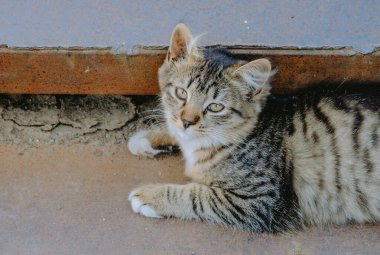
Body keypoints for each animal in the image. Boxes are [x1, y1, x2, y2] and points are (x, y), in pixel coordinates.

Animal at [128, 22, 380, 232]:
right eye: (181, 93)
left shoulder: (263, 201)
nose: (187, 121)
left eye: (215, 107)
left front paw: (151, 195)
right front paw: (148, 138)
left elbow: (197, 195)